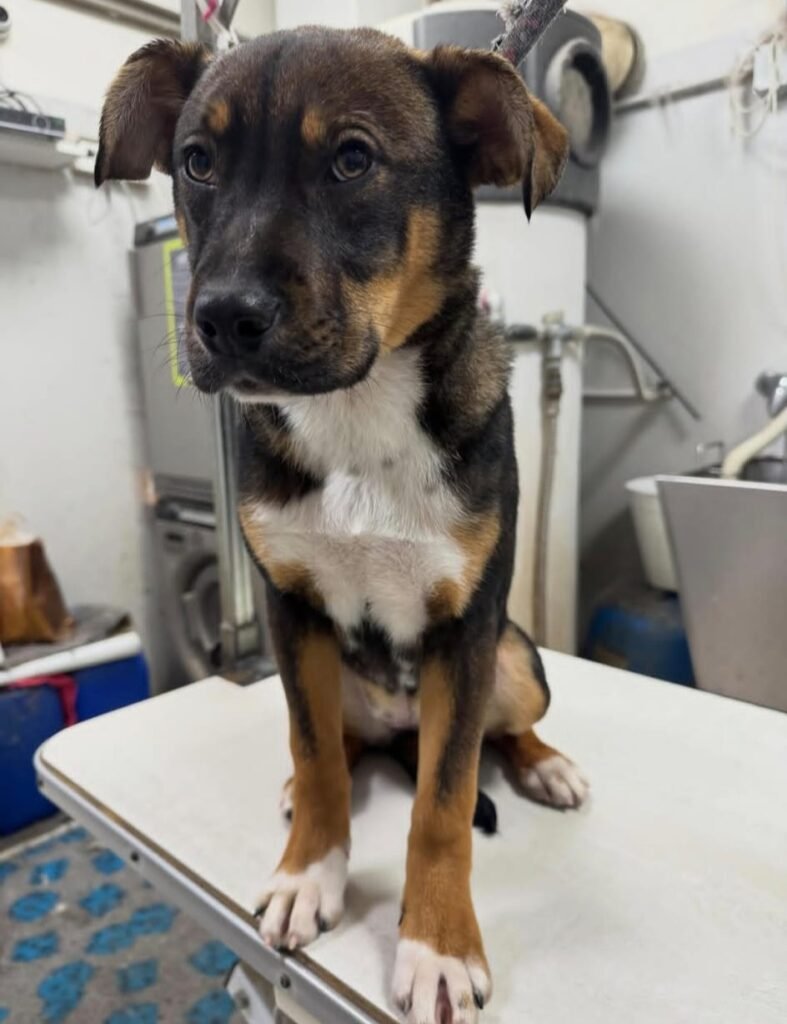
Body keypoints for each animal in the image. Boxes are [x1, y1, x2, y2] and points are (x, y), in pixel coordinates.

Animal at [96, 26, 588, 1023]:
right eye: (197, 163)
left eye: (352, 159)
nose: (220, 318)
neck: (356, 415)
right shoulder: (293, 614)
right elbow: (318, 752)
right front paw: (308, 876)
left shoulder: (464, 632)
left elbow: (443, 804)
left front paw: (436, 945)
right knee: (337, 741)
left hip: (513, 660)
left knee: (493, 734)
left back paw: (542, 764)